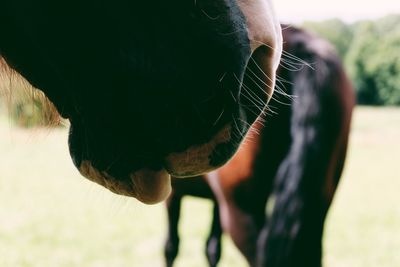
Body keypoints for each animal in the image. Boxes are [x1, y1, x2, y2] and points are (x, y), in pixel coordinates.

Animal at [164, 25, 354, 267]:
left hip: (243, 211)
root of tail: (298, 40)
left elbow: (171, 247)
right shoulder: (215, 201)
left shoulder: (174, 196)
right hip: (318, 205)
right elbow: (212, 249)